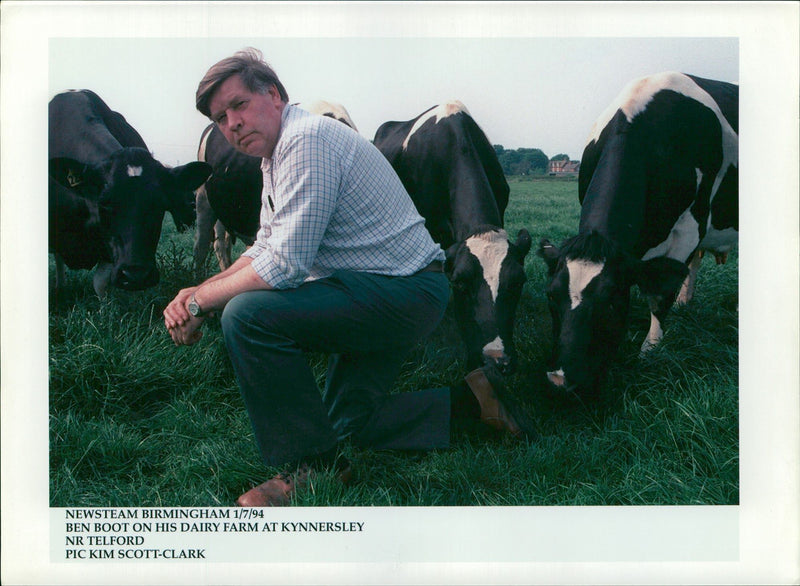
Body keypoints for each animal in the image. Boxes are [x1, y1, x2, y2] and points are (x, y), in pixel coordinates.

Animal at [536, 70, 736, 394]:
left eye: (609, 301)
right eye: (551, 296)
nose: (559, 379)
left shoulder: (690, 228)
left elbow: (660, 294)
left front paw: (650, 350)